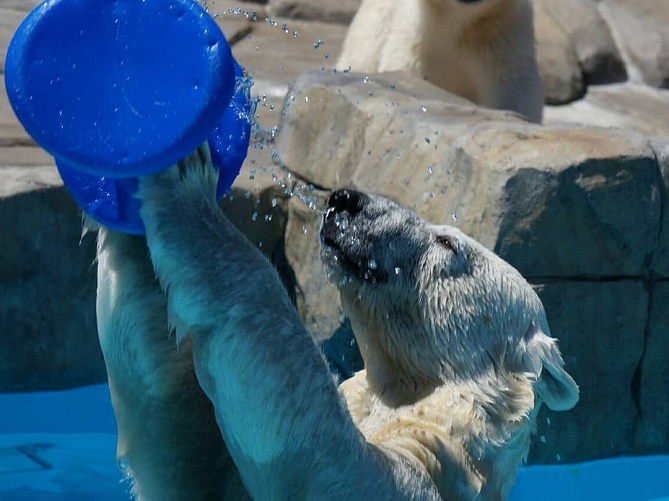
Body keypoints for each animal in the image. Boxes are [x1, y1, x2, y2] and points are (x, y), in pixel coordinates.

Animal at [95, 143, 580, 498]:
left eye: (447, 243)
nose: (347, 199)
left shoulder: (427, 471)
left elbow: (318, 460)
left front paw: (185, 183)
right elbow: (182, 452)